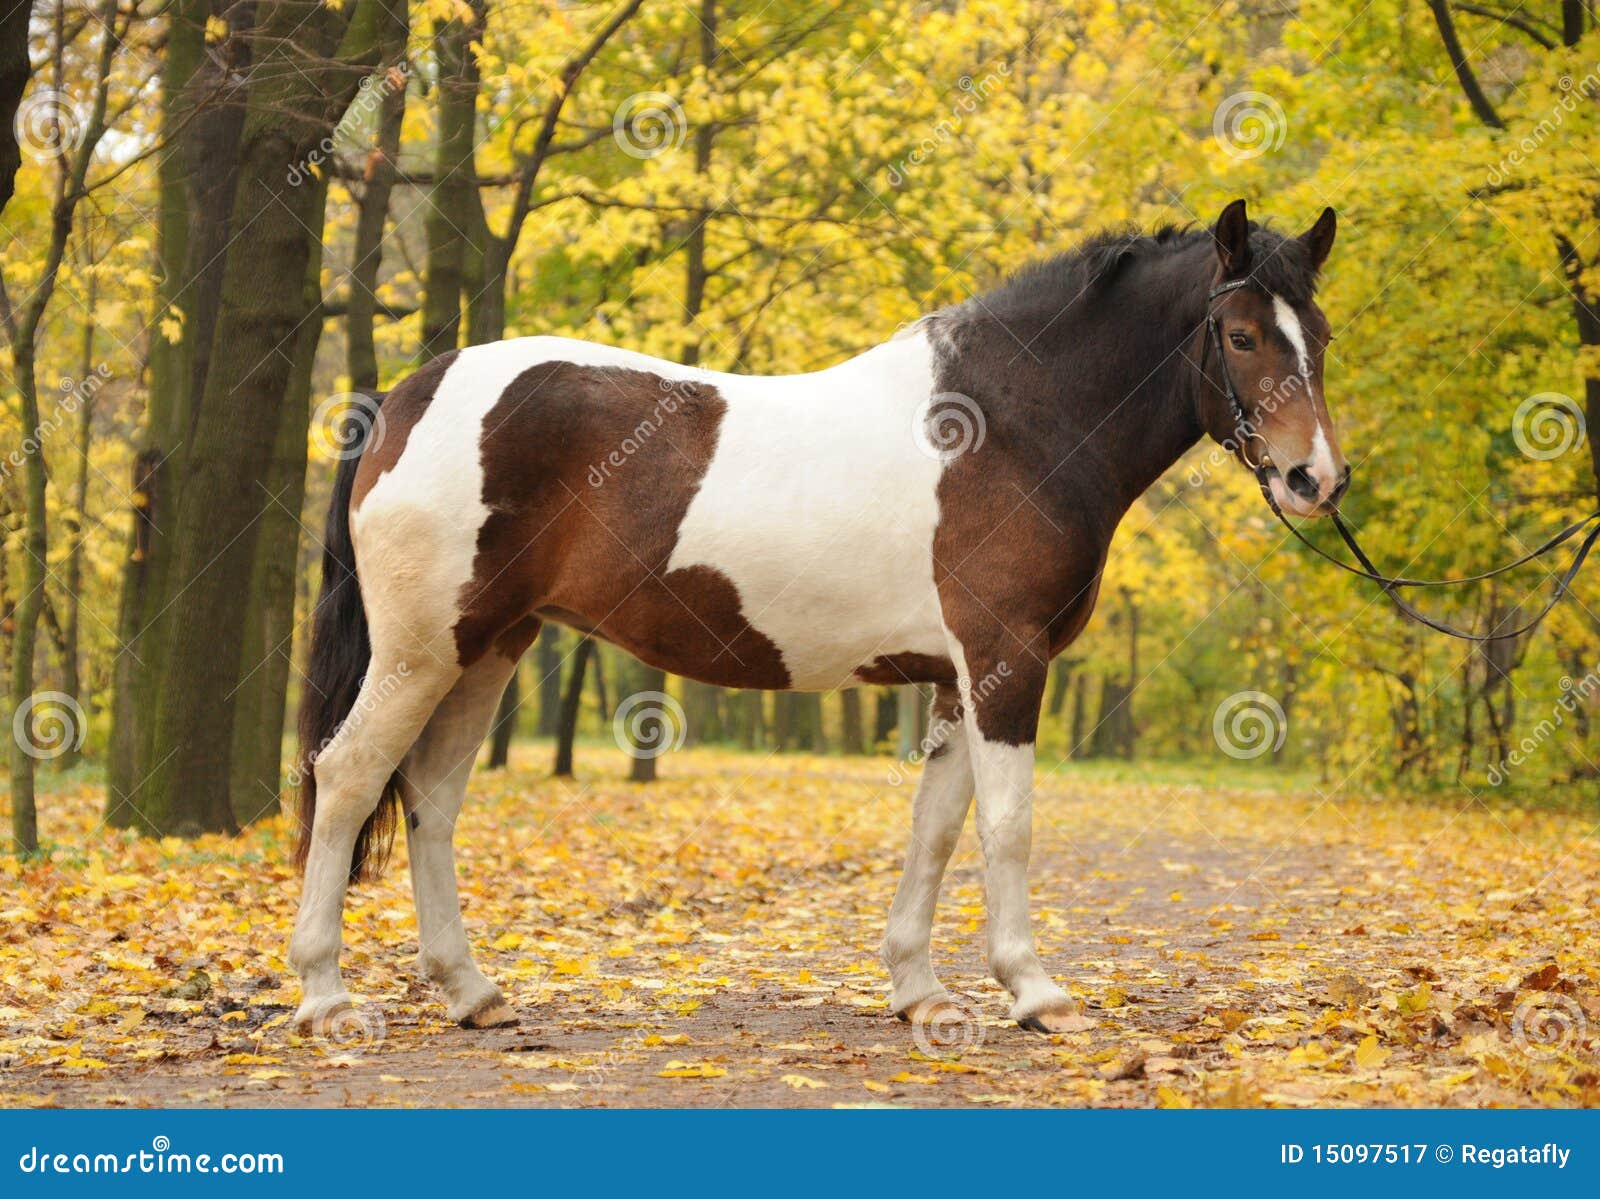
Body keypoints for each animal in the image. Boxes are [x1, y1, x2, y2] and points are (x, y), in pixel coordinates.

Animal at [291, 194, 1350, 1030]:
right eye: (1243, 335)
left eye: (1323, 336)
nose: (1316, 479)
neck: (1011, 423)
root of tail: (403, 396)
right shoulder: (1006, 662)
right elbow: (1007, 826)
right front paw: (1036, 992)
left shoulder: (957, 680)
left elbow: (937, 828)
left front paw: (921, 991)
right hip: (422, 653)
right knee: (346, 777)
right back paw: (327, 996)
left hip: (488, 647)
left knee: (430, 796)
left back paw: (472, 992)